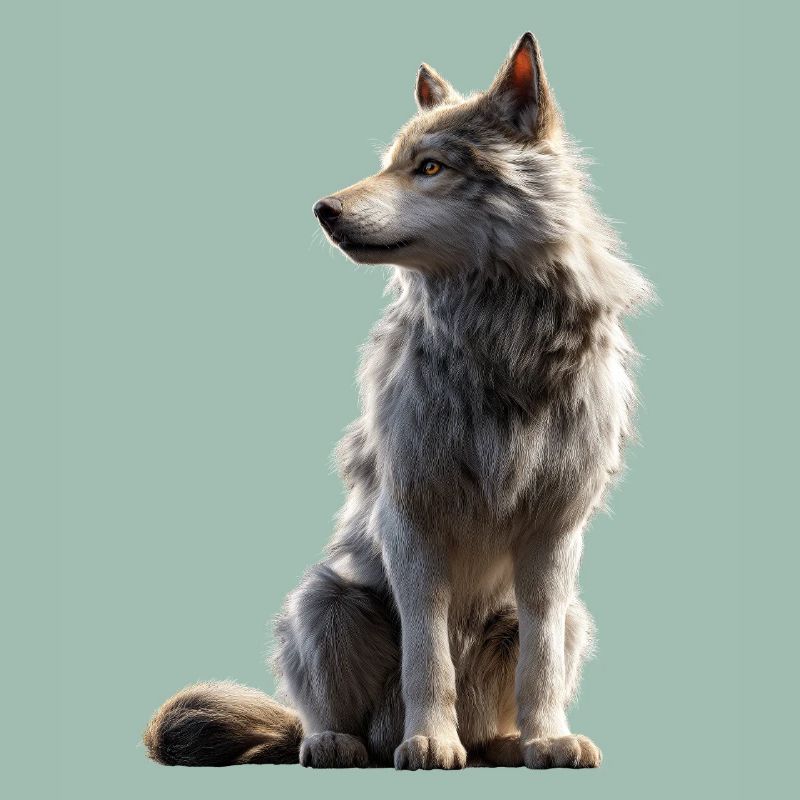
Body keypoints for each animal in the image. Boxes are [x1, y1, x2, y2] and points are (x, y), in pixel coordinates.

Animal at [144, 32, 651, 770]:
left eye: (430, 167)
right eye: (390, 164)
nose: (323, 210)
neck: (500, 342)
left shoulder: (555, 533)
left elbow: (542, 665)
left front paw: (549, 740)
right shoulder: (411, 519)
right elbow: (427, 653)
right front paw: (430, 741)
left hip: (572, 617)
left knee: (517, 687)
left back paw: (503, 744)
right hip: (324, 601)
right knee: (323, 715)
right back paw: (342, 743)